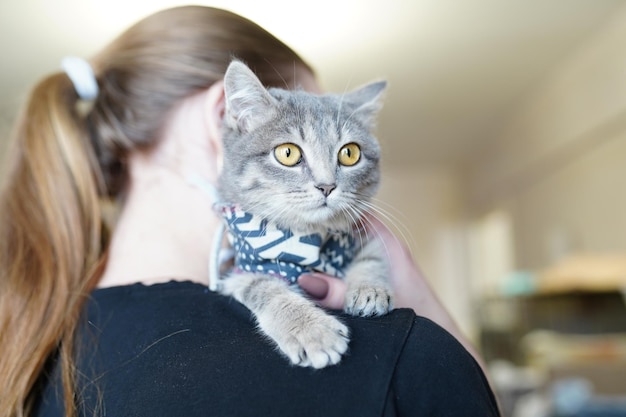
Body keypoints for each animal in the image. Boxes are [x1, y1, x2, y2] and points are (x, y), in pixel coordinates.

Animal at [214, 61, 390, 368]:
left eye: (350, 153)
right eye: (287, 153)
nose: (327, 186)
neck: (310, 238)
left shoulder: (359, 233)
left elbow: (373, 257)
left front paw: (371, 289)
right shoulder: (238, 271)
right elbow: (265, 288)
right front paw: (311, 329)